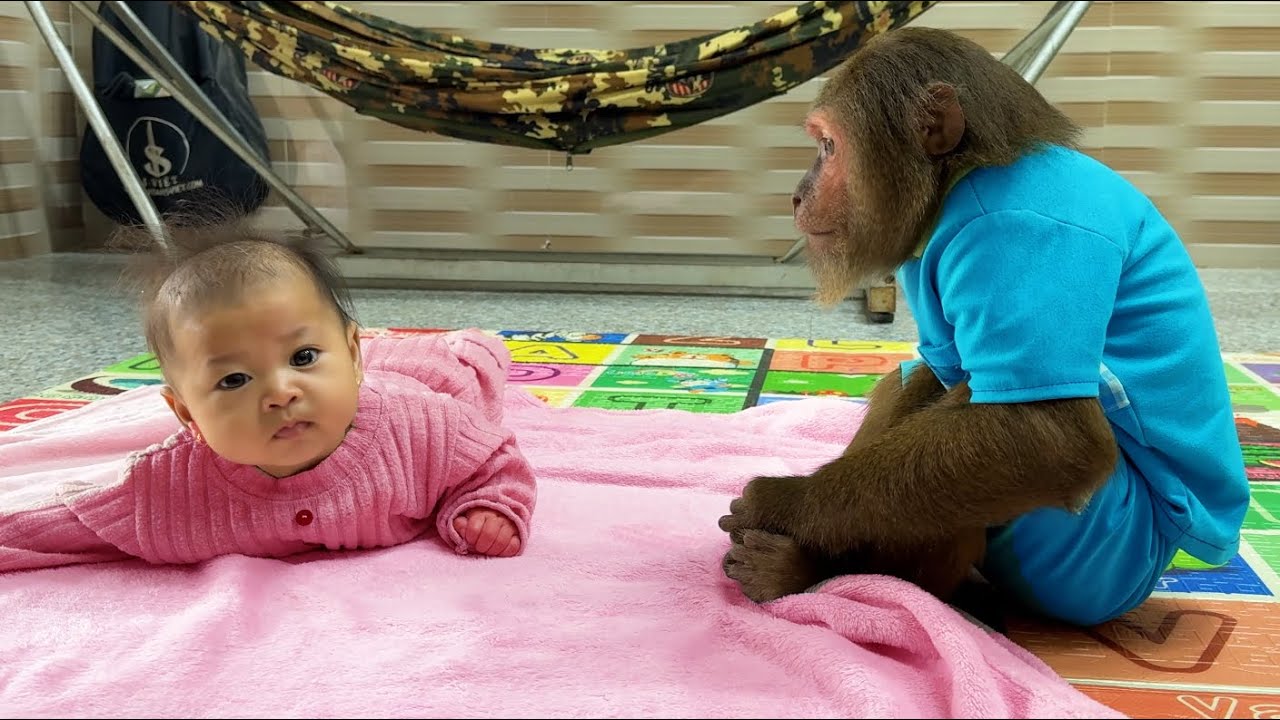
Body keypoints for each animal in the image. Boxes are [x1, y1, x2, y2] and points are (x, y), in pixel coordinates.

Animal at [719, 26, 1251, 628]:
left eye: (829, 147)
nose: (798, 193)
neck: (966, 173)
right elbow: (931, 371)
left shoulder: (1014, 232)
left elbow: (1046, 435)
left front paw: (782, 505)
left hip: (1099, 559)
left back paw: (829, 572)